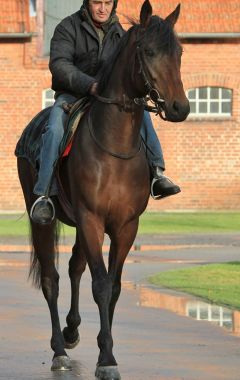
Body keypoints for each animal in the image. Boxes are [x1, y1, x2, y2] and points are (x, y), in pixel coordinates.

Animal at [16, 1, 189, 378]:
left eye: (179, 52)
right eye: (149, 51)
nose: (181, 108)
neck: (114, 147)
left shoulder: (125, 226)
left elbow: (114, 286)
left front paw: (102, 349)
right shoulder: (92, 219)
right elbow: (101, 284)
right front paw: (107, 358)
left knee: (74, 268)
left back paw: (71, 331)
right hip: (45, 221)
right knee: (51, 278)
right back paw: (58, 351)